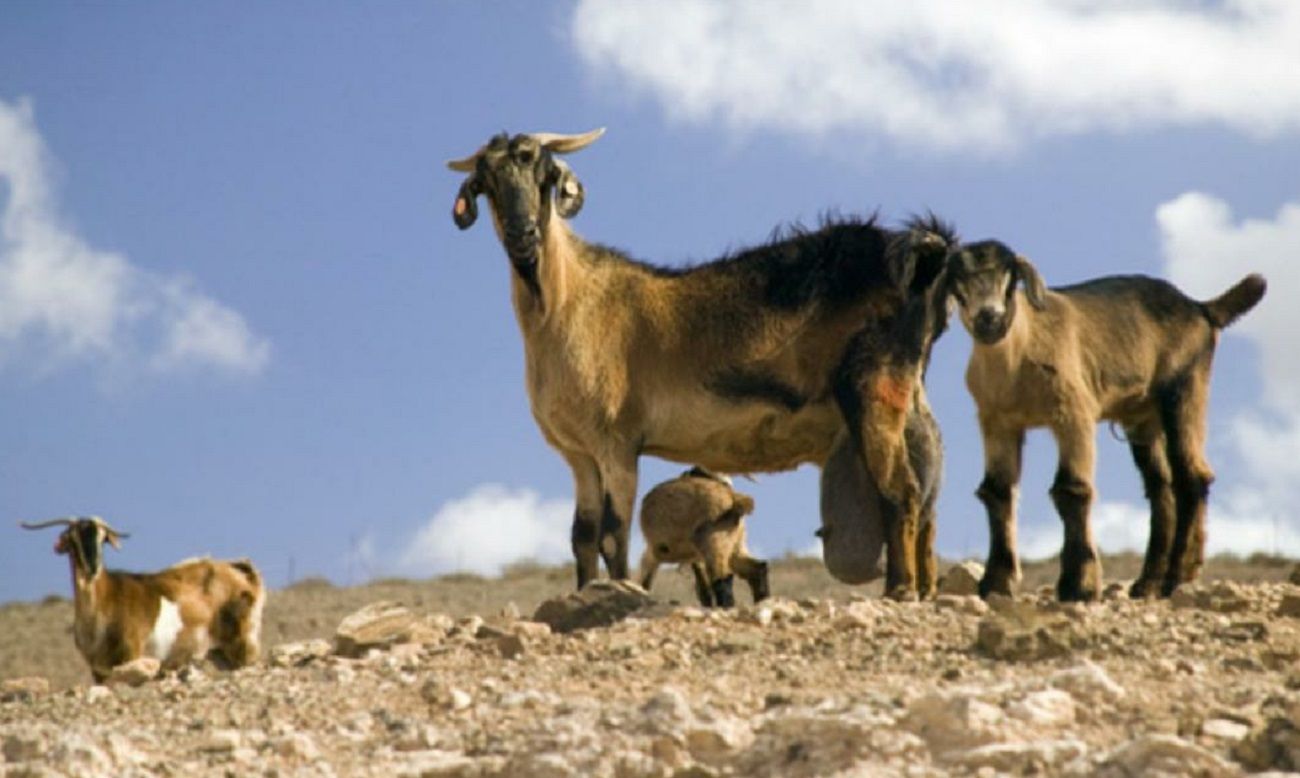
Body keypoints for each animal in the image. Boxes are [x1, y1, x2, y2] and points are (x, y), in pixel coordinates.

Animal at [22, 517, 263, 681]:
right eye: (72, 539)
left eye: (103, 539)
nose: (92, 568)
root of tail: (241, 570)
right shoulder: (98, 671)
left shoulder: (131, 655)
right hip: (220, 654)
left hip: (243, 645)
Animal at [637, 468, 764, 608]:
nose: (725, 483)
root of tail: (734, 501)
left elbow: (704, 588)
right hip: (735, 544)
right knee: (757, 569)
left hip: (713, 543)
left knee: (722, 579)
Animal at [941, 241, 1263, 603]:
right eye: (957, 283)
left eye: (1009, 279)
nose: (990, 318)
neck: (1018, 354)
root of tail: (1200, 308)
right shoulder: (997, 422)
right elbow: (996, 491)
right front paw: (995, 584)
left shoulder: (1074, 412)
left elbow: (1071, 489)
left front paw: (1078, 585)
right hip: (1143, 418)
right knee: (1161, 486)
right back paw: (1149, 582)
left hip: (1185, 387)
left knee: (1191, 476)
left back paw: (1175, 578)